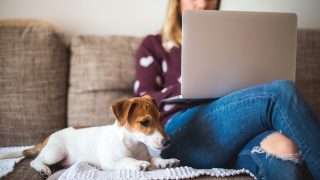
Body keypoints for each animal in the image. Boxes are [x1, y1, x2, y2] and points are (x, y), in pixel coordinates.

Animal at [0, 95, 180, 177]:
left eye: (159, 118)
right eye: (144, 122)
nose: (168, 142)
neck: (132, 143)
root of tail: (48, 138)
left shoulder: (146, 154)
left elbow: (154, 158)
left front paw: (166, 161)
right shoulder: (110, 162)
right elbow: (127, 160)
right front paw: (139, 164)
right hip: (54, 153)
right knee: (35, 160)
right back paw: (43, 169)